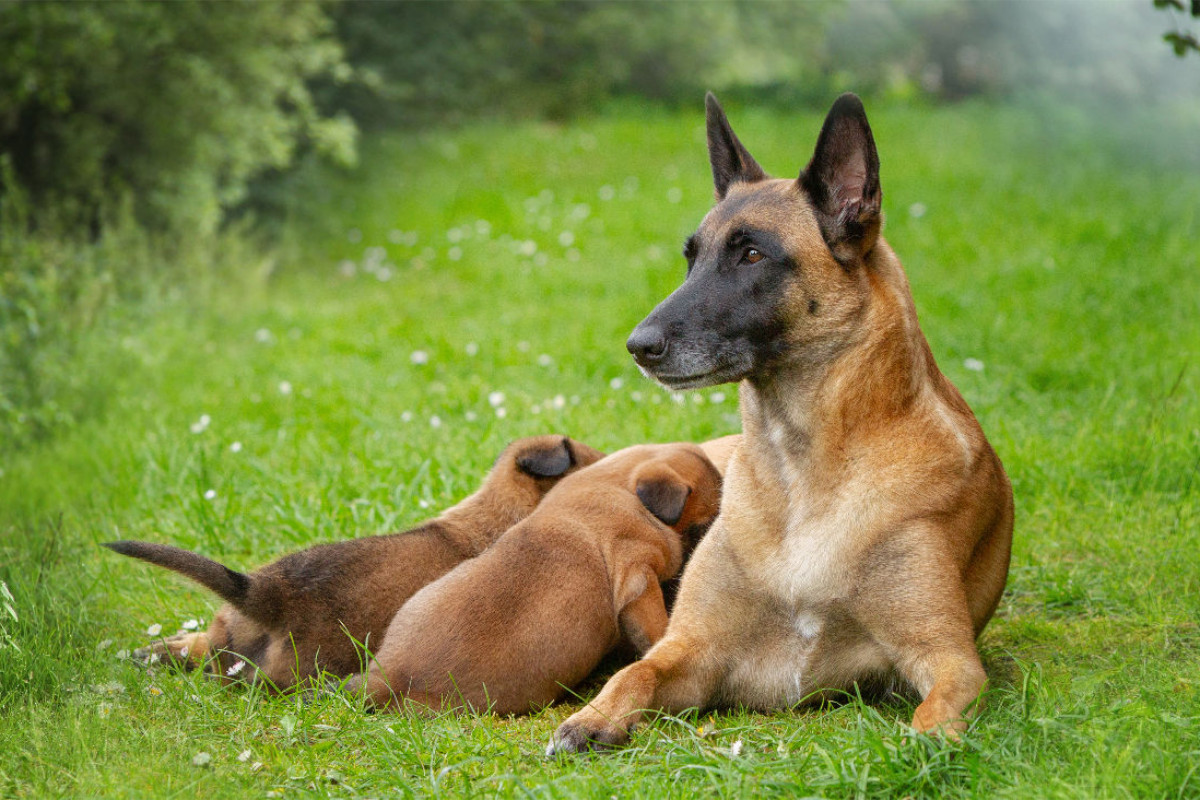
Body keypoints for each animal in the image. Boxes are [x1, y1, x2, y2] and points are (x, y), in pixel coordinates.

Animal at [549, 90, 1012, 753]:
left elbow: (931, 723)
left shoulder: (950, 659)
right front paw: (593, 716)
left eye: (751, 254)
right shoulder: (694, 649)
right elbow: (635, 673)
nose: (639, 347)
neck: (804, 472)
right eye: (691, 259)